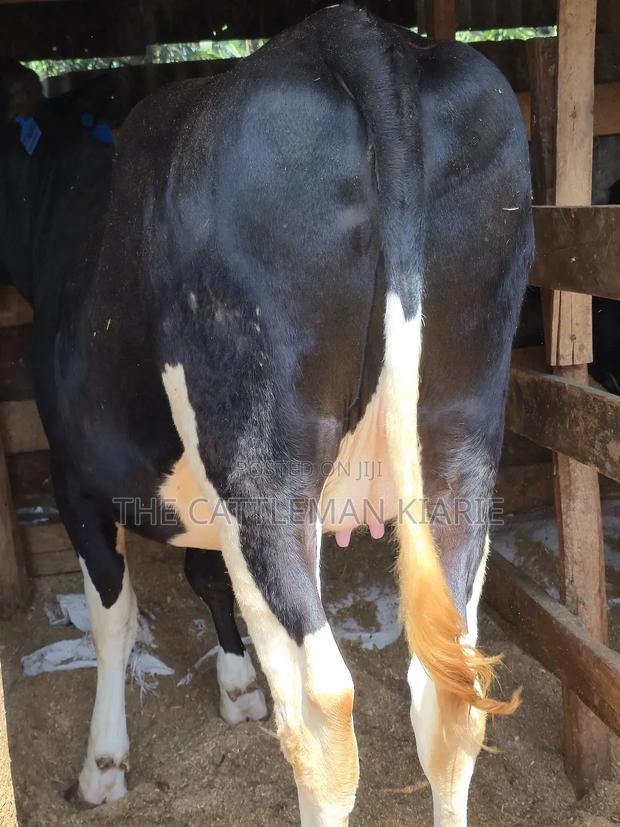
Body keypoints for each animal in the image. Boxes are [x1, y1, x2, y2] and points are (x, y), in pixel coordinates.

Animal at [1, 5, 533, 825]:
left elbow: (113, 616)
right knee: (451, 691)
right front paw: (236, 686)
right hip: (459, 438)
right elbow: (206, 577)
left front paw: (103, 766)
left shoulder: (73, 475)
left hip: (258, 464)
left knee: (322, 712)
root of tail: (351, 30)